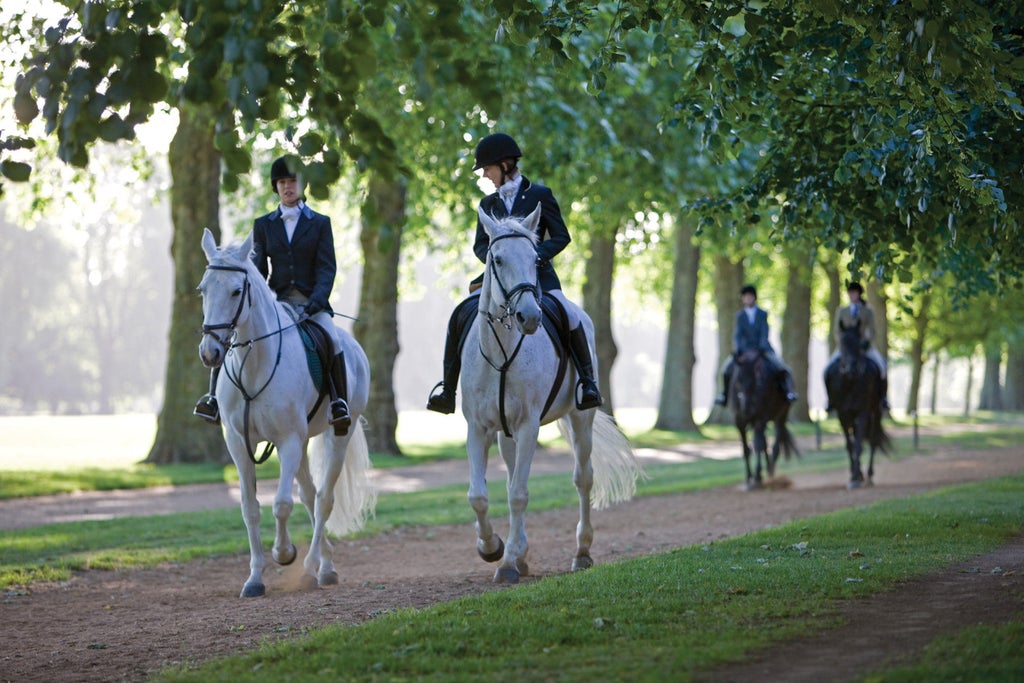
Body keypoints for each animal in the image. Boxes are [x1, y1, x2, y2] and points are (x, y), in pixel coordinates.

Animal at [193, 229, 374, 598]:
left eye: (236, 291)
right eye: (203, 289)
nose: (210, 352)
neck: (254, 365)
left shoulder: (289, 440)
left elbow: (281, 504)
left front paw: (284, 553)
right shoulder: (238, 442)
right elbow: (250, 507)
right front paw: (254, 578)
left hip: (337, 436)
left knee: (323, 499)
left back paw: (313, 568)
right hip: (303, 444)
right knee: (309, 495)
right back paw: (325, 564)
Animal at [458, 205, 634, 585]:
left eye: (535, 258)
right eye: (496, 258)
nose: (529, 316)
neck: (502, 350)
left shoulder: (528, 426)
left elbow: (519, 495)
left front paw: (507, 562)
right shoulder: (478, 427)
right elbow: (479, 495)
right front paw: (492, 547)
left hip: (581, 418)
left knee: (583, 479)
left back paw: (581, 552)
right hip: (505, 433)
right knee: (511, 475)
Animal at [729, 352, 798, 491]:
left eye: (755, 380)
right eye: (738, 380)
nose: (747, 409)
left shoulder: (761, 419)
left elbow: (758, 446)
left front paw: (757, 476)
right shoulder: (740, 421)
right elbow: (746, 449)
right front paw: (749, 478)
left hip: (781, 416)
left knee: (776, 444)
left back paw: (770, 472)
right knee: (765, 444)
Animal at [823, 323, 888, 489]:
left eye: (859, 344)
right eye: (842, 343)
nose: (850, 368)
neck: (850, 381)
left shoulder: (863, 412)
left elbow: (859, 445)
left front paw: (856, 477)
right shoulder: (842, 414)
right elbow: (850, 445)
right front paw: (855, 475)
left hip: (876, 412)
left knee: (873, 440)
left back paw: (869, 475)